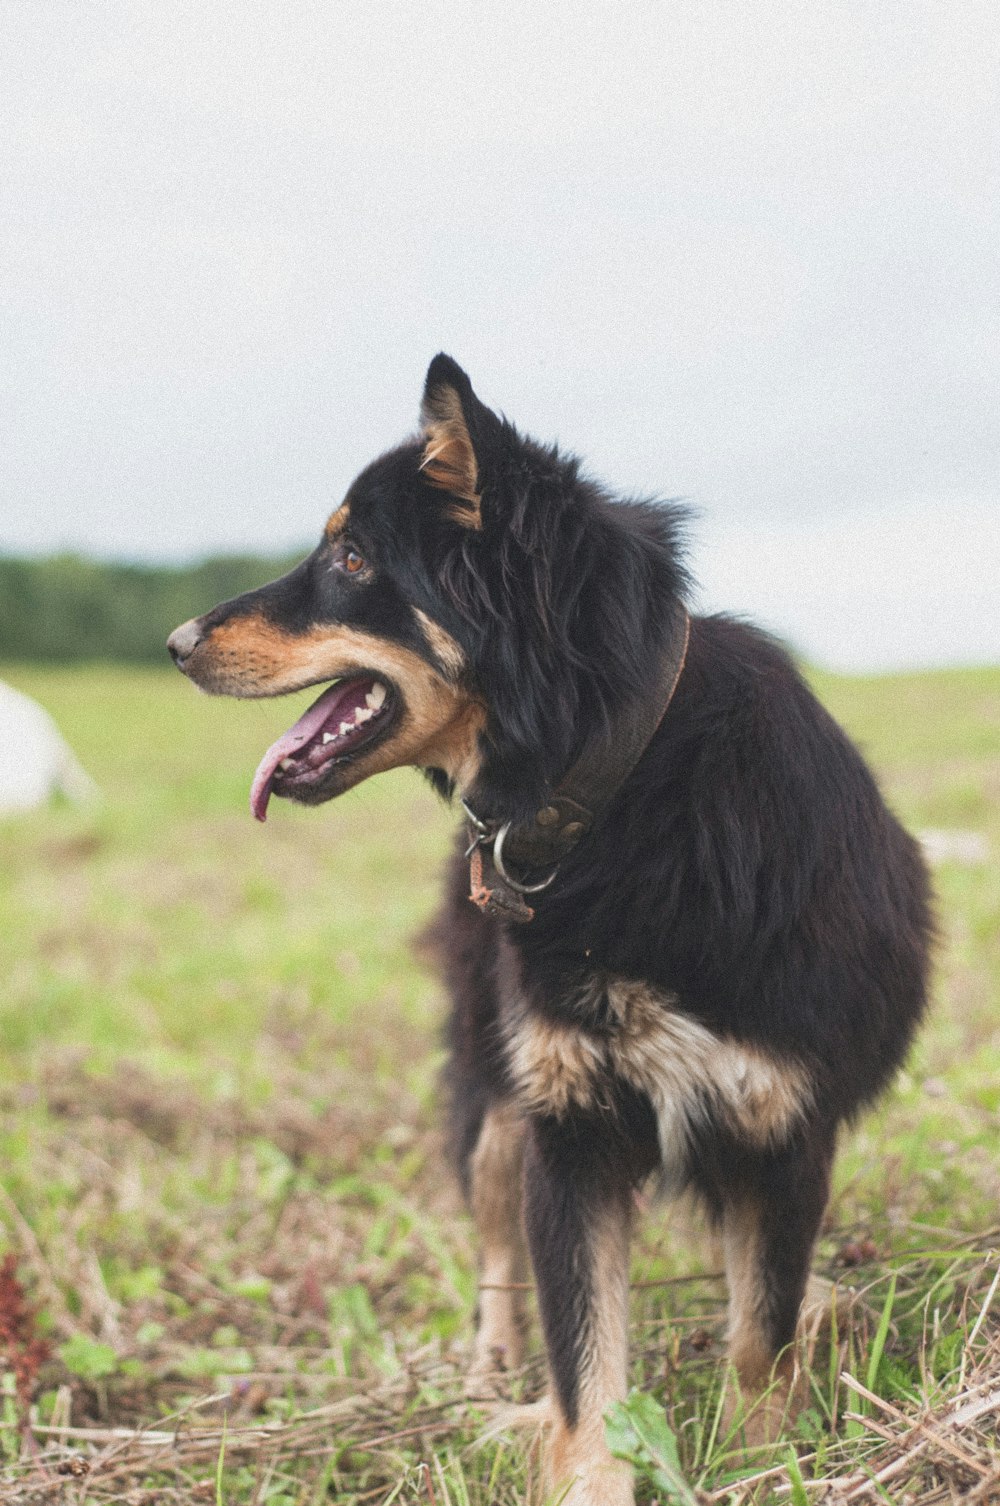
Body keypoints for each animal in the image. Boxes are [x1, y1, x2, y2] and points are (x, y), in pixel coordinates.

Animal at [167, 355, 933, 1506]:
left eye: (351, 557)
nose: (172, 646)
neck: (616, 783)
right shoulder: (567, 1128)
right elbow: (586, 1369)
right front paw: (582, 1464)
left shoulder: (784, 1125)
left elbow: (759, 1331)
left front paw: (762, 1456)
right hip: (494, 1094)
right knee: (494, 1244)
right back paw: (490, 1367)